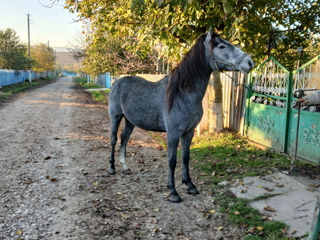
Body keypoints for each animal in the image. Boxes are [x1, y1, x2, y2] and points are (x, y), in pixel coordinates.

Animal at [109, 29, 254, 203]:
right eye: (221, 46)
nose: (250, 62)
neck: (182, 93)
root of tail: (117, 82)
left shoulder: (188, 132)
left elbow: (185, 157)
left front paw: (190, 185)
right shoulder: (173, 133)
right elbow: (172, 160)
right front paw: (173, 192)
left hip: (130, 121)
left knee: (124, 139)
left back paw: (125, 167)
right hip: (115, 117)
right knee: (113, 140)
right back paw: (112, 168)